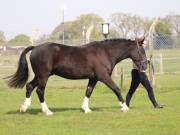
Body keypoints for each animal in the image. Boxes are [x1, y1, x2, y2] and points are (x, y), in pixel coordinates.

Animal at [7, 37, 148, 115]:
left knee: (29, 86)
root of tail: (35, 47)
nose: (145, 66)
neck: (105, 52)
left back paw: (24, 108)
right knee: (40, 91)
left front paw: (86, 109)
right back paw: (47, 111)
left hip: (40, 76)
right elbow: (116, 88)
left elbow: (88, 91)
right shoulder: (103, 77)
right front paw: (124, 107)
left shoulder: (94, 78)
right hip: (43, 76)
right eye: (141, 51)